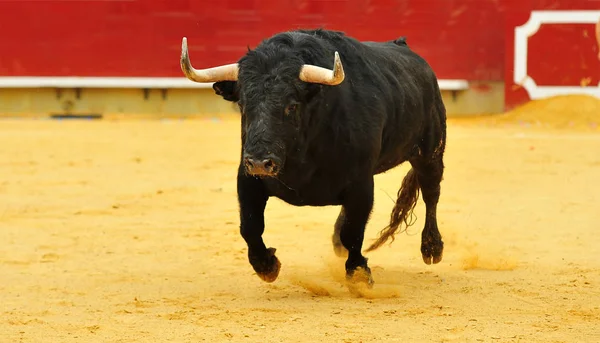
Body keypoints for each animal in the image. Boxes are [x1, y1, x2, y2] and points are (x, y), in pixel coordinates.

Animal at [180, 28, 448, 288]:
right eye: (243, 105)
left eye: (291, 106)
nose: (259, 163)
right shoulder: (247, 179)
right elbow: (250, 226)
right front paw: (267, 266)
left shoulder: (361, 183)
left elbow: (354, 232)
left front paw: (359, 274)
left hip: (431, 151)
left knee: (431, 193)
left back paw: (432, 248)